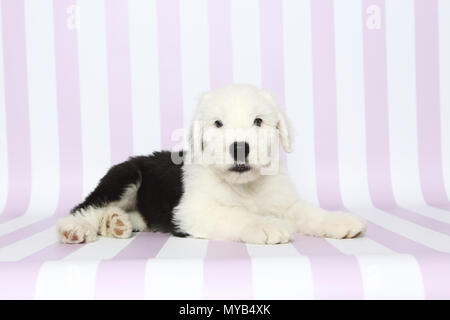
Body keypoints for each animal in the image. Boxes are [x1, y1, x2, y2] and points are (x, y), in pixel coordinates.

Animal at [57, 84, 366, 244]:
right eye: (218, 123)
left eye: (258, 121)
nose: (240, 147)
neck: (245, 187)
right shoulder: (192, 211)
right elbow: (236, 214)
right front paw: (266, 225)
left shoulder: (284, 202)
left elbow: (307, 213)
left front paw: (339, 221)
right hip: (125, 176)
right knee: (86, 207)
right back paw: (75, 229)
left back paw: (116, 223)